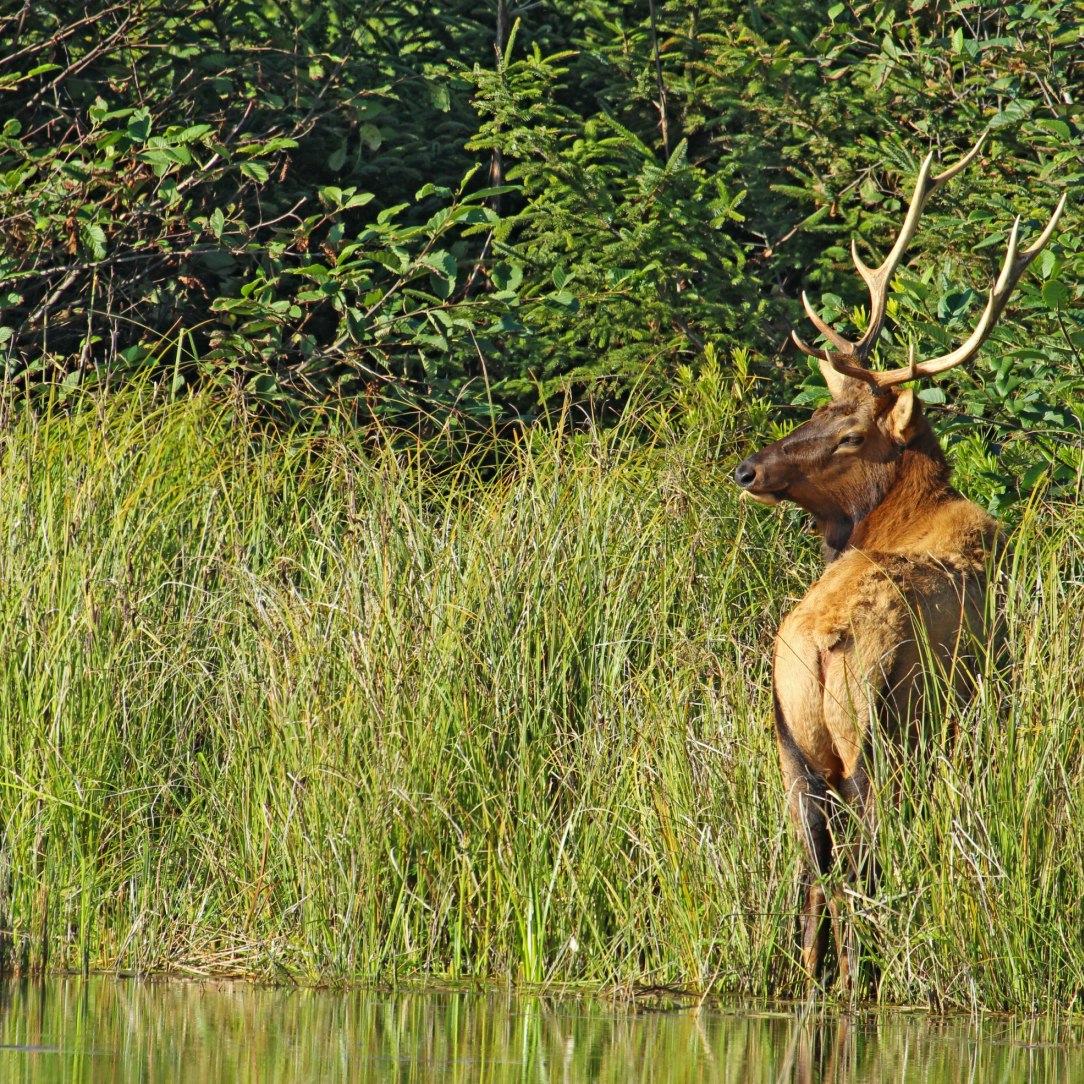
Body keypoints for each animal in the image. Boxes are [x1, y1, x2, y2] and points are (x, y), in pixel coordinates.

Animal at [734, 137, 1066, 989]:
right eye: (821, 411)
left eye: (846, 430)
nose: (748, 469)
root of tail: (819, 640)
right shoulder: (983, 700)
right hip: (876, 733)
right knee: (863, 859)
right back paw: (863, 976)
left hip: (791, 742)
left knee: (812, 868)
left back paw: (811, 978)